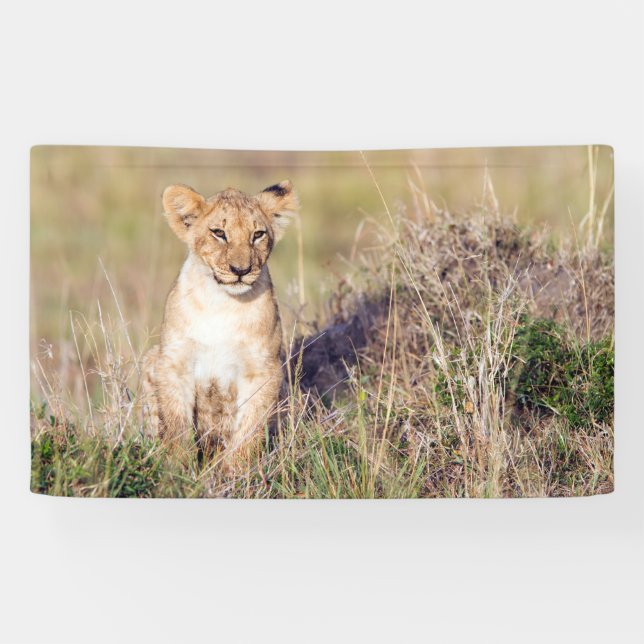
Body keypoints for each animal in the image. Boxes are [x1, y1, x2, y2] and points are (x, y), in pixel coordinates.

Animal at [141, 180, 299, 468]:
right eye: (219, 233)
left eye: (258, 234)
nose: (240, 270)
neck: (223, 303)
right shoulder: (174, 362)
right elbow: (176, 424)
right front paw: (177, 469)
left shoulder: (263, 370)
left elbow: (249, 429)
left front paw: (237, 472)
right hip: (150, 359)